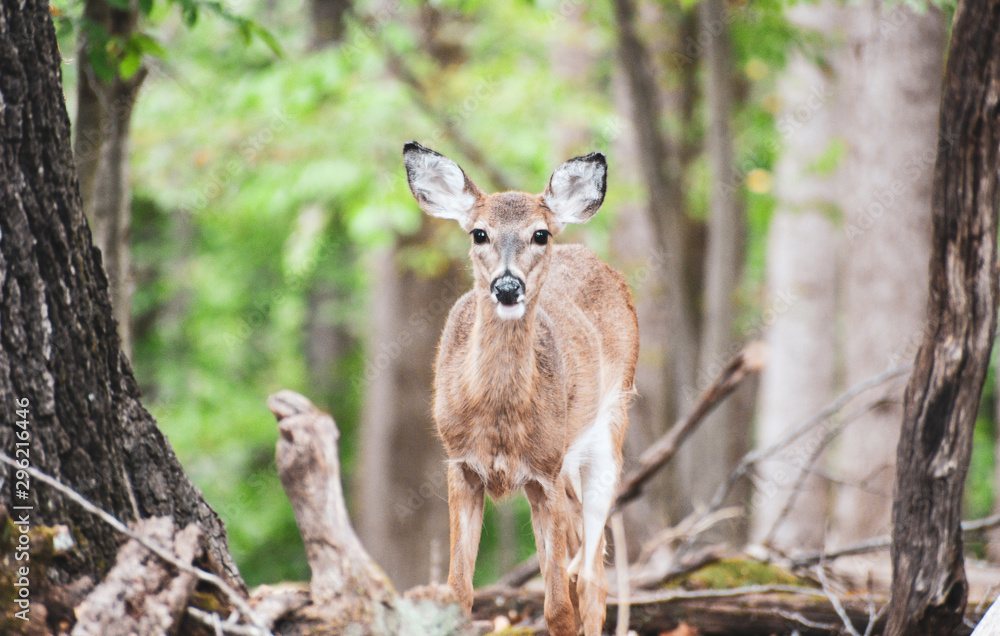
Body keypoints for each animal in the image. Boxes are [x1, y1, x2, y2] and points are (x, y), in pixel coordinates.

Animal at [402, 141, 639, 636]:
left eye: (540, 234)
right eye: (478, 233)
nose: (508, 286)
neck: (499, 421)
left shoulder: (543, 472)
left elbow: (557, 608)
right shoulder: (460, 464)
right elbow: (458, 592)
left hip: (610, 425)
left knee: (592, 576)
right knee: (583, 559)